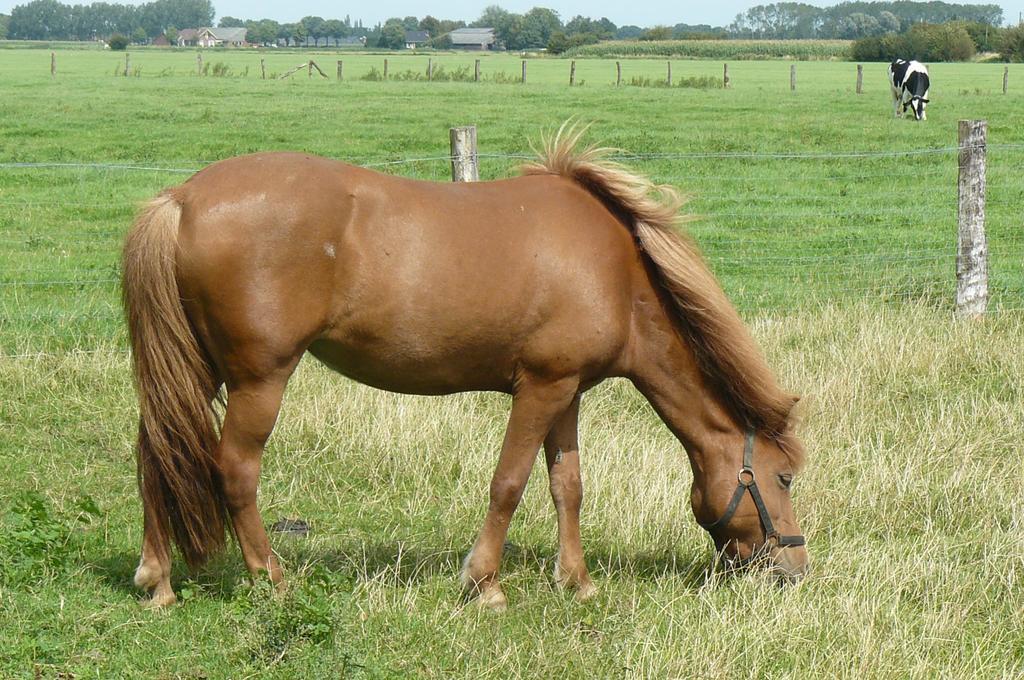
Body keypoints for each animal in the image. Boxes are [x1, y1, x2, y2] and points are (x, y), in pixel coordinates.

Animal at [121, 125, 806, 610]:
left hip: (195, 369)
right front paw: (486, 585)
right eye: (784, 478)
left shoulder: (568, 392)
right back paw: (273, 580)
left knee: (155, 450)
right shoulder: (539, 389)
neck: (616, 272)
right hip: (259, 378)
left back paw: (158, 581)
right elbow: (509, 483)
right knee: (235, 470)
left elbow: (568, 486)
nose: (794, 569)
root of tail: (182, 199)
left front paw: (576, 581)